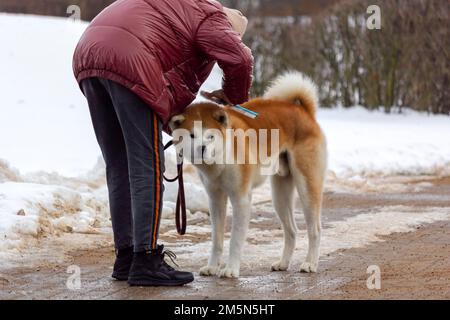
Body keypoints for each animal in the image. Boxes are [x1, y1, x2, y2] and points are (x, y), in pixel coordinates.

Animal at [169, 72, 326, 278]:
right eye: (192, 135)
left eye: (210, 136)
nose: (202, 148)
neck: (222, 156)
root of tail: (303, 111)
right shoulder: (215, 199)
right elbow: (217, 240)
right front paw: (212, 266)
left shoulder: (241, 199)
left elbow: (235, 239)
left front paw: (231, 269)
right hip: (280, 195)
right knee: (291, 230)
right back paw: (283, 263)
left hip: (307, 186)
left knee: (315, 230)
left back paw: (310, 263)